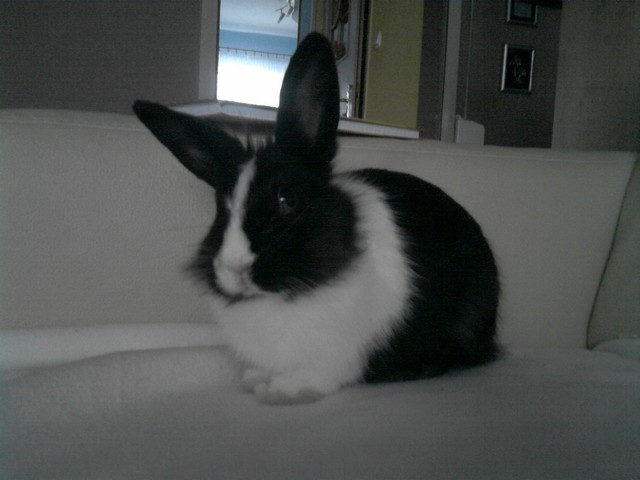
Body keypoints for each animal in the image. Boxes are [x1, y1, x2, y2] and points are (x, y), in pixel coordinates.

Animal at [133, 33, 499, 404]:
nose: (235, 269)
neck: (285, 294)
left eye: (287, 201)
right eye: (221, 208)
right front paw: (256, 380)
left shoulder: (339, 354)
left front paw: (284, 390)